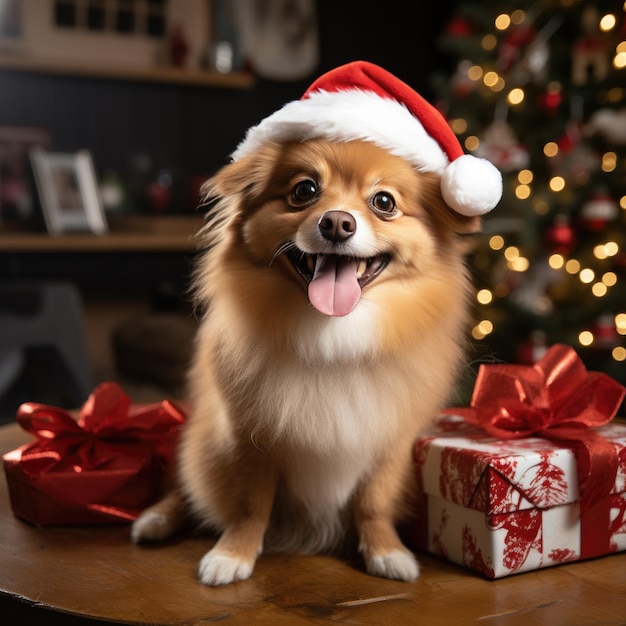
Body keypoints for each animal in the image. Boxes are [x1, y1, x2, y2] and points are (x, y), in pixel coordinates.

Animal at [129, 61, 500, 584]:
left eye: (384, 202)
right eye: (304, 191)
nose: (337, 222)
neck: (334, 334)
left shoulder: (388, 443)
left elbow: (373, 502)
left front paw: (386, 551)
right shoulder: (249, 439)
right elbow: (250, 506)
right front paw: (233, 554)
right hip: (200, 442)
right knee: (185, 486)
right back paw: (155, 521)